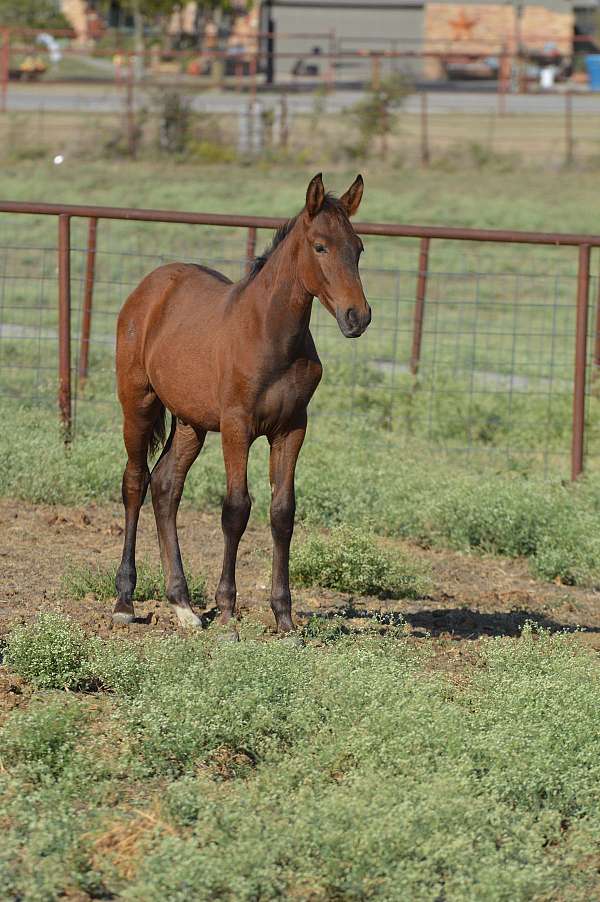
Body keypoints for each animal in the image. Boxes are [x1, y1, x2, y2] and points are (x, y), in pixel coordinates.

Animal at [113, 175, 370, 636]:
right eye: (320, 246)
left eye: (358, 248)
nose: (358, 317)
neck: (271, 335)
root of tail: (151, 285)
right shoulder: (237, 427)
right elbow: (236, 509)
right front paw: (228, 614)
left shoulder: (292, 428)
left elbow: (282, 512)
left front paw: (284, 619)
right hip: (138, 403)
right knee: (135, 483)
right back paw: (125, 600)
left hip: (190, 423)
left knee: (166, 487)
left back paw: (183, 606)